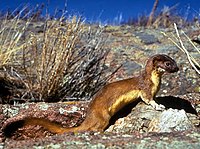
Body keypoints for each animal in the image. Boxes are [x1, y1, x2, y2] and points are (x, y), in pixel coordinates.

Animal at [2, 54, 178, 137]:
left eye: (175, 62)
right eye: (168, 63)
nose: (177, 68)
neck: (155, 82)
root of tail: (89, 116)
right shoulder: (145, 89)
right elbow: (148, 99)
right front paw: (159, 106)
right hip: (103, 116)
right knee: (94, 128)